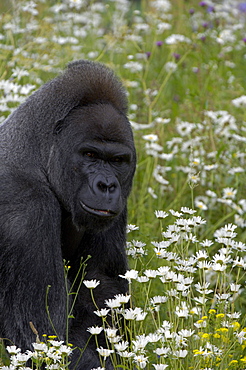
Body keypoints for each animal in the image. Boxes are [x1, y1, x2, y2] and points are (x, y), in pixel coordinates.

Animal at [0, 59, 136, 368]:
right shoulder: (26, 210)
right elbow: (43, 336)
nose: (107, 185)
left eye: (118, 161)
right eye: (90, 155)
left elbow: (100, 286)